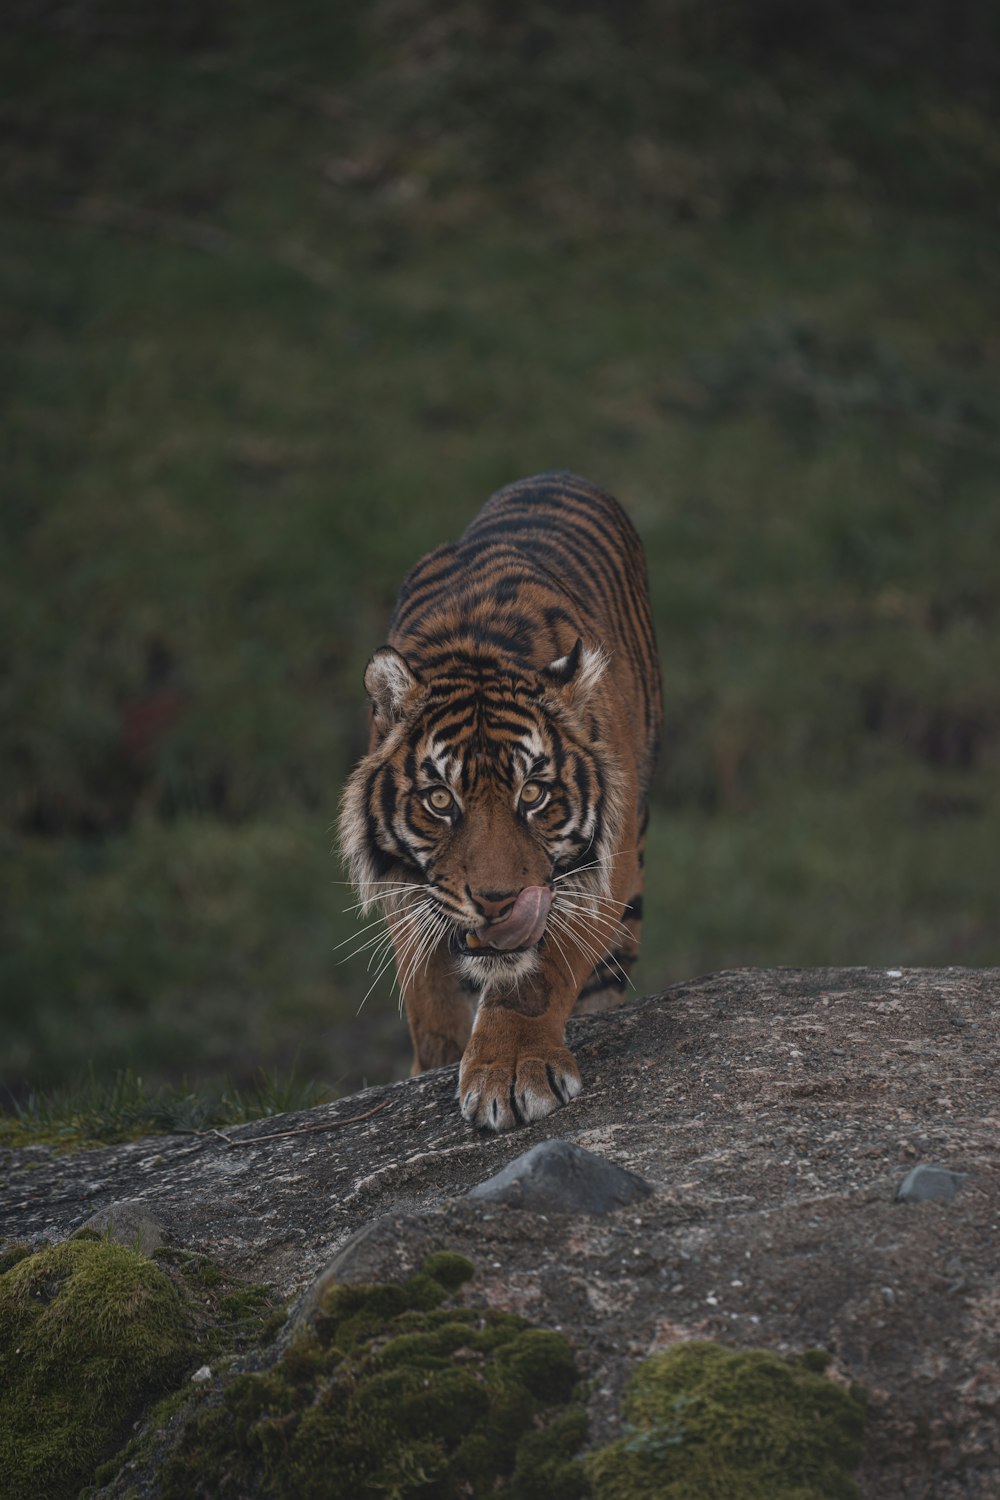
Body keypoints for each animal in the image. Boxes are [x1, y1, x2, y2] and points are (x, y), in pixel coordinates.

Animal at [340, 468, 659, 1128]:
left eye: (533, 794)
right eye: (440, 801)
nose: (497, 902)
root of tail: (556, 472)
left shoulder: (600, 875)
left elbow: (533, 978)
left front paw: (511, 1073)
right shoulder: (408, 890)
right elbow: (429, 997)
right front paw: (437, 1063)